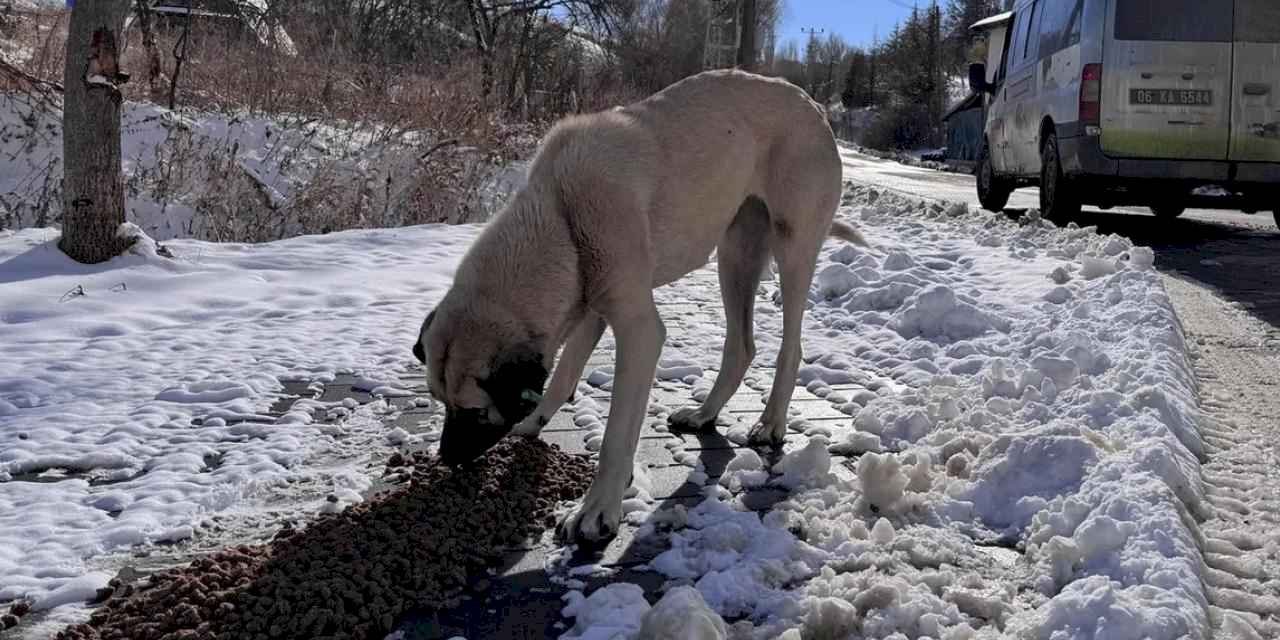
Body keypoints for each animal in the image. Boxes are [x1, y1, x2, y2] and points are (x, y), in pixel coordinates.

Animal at [414, 68, 865, 540]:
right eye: (439, 401)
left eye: (474, 413)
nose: (446, 458)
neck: (561, 214)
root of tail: (813, 106)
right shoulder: (590, 304)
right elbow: (563, 374)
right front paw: (535, 419)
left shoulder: (639, 330)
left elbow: (616, 435)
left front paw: (596, 509)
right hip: (734, 255)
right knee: (741, 346)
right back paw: (704, 414)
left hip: (792, 248)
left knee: (790, 347)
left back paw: (771, 421)